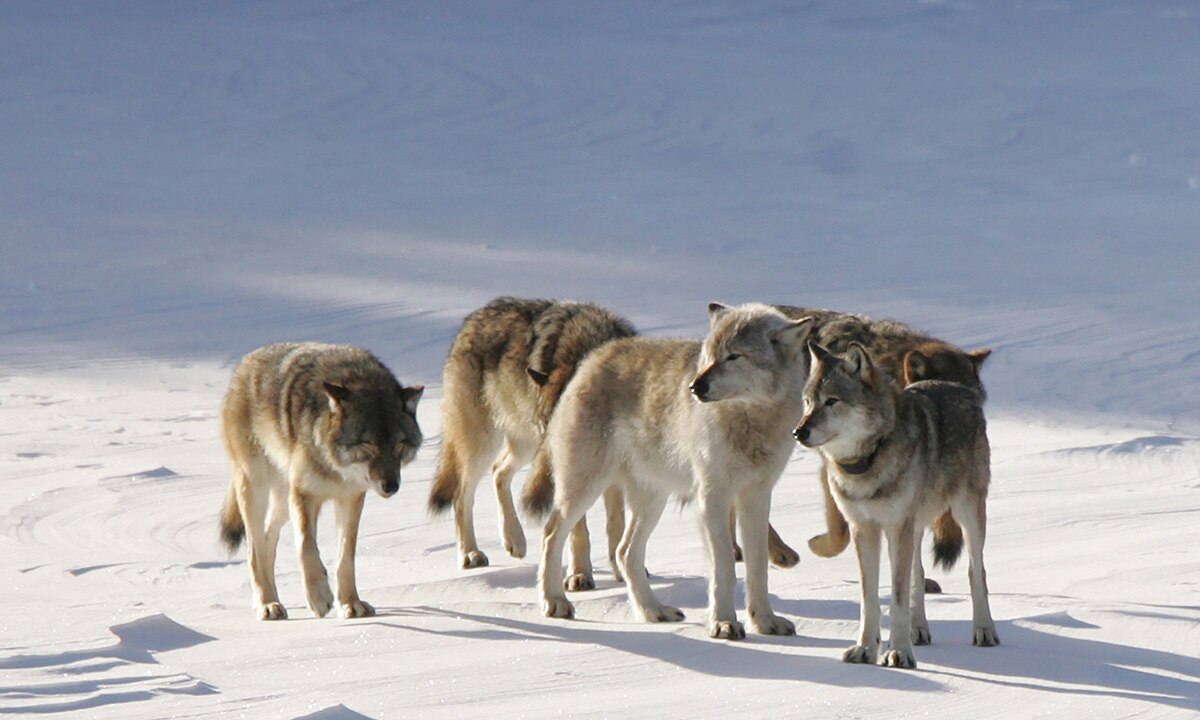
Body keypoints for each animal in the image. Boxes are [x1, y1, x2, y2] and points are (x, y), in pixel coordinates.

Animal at [222, 343, 427, 619]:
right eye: (368, 445)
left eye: (398, 445)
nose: (391, 486)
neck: (336, 468)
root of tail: (246, 362)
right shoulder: (304, 495)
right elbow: (306, 546)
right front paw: (319, 597)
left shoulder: (351, 498)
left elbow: (346, 556)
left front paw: (350, 603)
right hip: (257, 488)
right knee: (254, 550)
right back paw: (267, 604)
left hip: (282, 502)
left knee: (266, 541)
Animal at [432, 297, 638, 590]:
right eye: (549, 428)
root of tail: (471, 319)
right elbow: (579, 530)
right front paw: (579, 575)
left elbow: (616, 524)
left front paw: (622, 572)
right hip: (485, 444)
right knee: (462, 493)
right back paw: (471, 553)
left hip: (525, 446)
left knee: (498, 471)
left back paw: (514, 540)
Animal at [537, 301, 811, 638]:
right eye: (709, 356)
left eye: (734, 356)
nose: (696, 386)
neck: (750, 419)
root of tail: (594, 356)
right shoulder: (713, 498)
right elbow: (724, 568)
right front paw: (723, 623)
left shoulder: (757, 498)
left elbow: (758, 568)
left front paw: (765, 622)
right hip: (586, 488)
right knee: (551, 534)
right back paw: (555, 602)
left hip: (653, 500)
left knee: (625, 552)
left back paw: (653, 611)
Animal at [792, 343, 998, 667]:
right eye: (808, 402)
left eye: (832, 401)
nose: (798, 433)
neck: (868, 461)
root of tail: (956, 385)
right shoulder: (864, 529)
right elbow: (870, 599)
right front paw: (866, 649)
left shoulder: (896, 528)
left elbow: (898, 599)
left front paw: (898, 652)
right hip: (915, 528)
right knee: (919, 574)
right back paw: (919, 631)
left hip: (967, 515)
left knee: (976, 572)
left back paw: (984, 631)